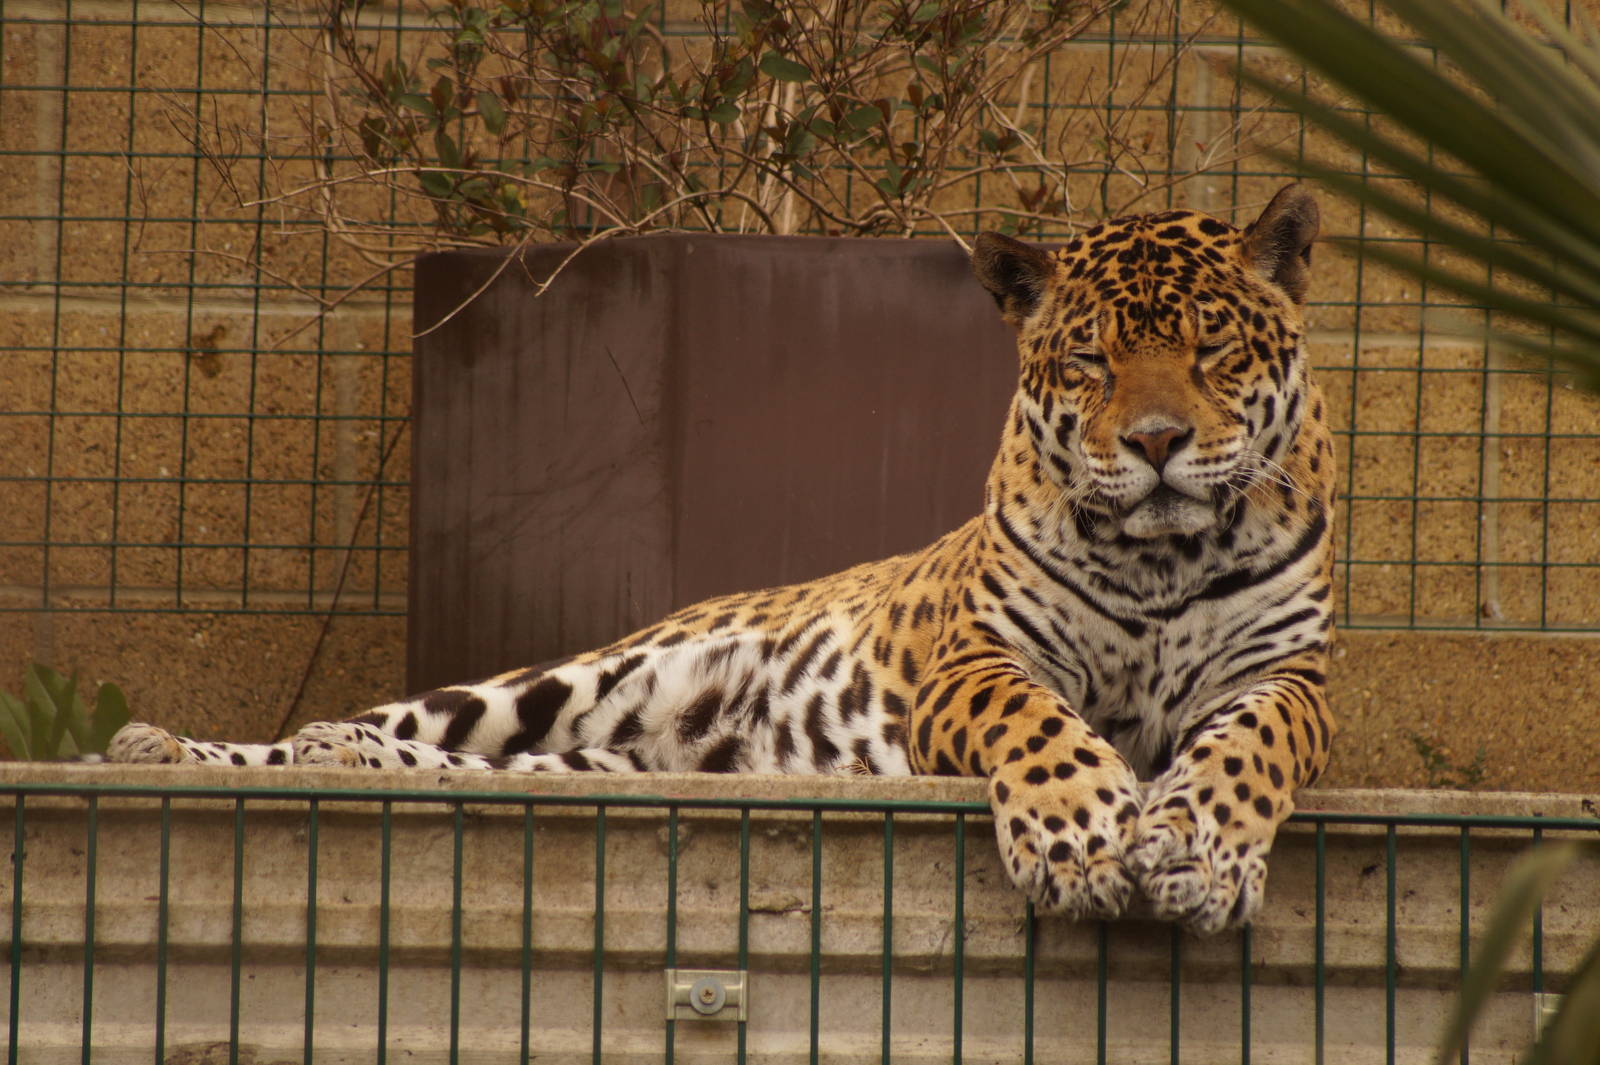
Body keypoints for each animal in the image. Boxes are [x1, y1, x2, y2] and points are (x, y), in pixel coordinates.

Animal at [109, 183, 1336, 934]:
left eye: (1214, 348)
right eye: (1089, 361)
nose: (1156, 442)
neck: (1162, 557)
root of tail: (694, 739)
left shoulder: (1288, 677)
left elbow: (1246, 750)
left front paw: (1195, 852)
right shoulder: (978, 661)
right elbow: (1040, 727)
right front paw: (1083, 838)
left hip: (599, 767)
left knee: (476, 769)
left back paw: (321, 756)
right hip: (575, 677)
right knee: (408, 725)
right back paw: (187, 746)